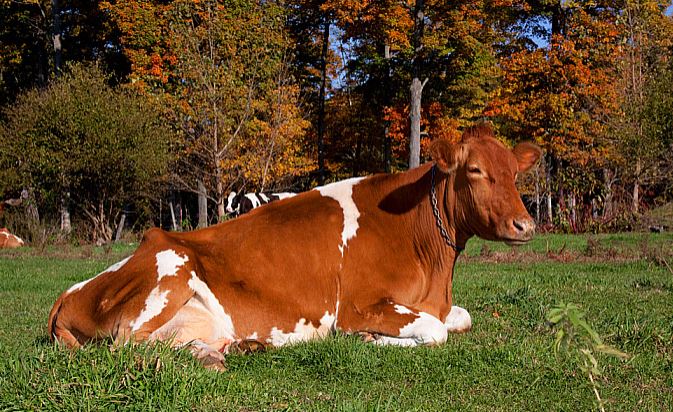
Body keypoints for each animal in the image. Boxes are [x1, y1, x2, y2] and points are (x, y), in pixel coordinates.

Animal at [48, 124, 541, 369]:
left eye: (515, 172)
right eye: (475, 170)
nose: (525, 224)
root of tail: (66, 294)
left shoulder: (437, 303)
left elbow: (461, 318)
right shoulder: (358, 305)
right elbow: (435, 331)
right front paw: (368, 339)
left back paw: (229, 351)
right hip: (172, 263)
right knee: (125, 347)